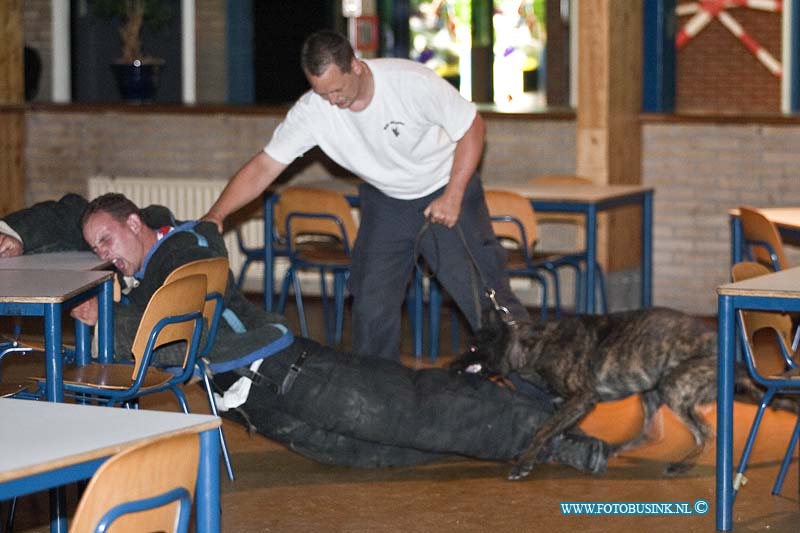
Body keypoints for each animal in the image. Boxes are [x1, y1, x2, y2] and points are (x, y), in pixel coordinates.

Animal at [450, 306, 768, 480]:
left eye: (473, 347)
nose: (448, 366)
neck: (533, 344)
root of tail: (738, 362)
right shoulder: (569, 404)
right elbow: (558, 427)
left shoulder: (582, 397)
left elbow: (542, 429)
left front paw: (524, 463)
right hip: (650, 388)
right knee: (651, 432)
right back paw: (616, 449)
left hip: (673, 386)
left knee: (706, 434)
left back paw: (681, 466)